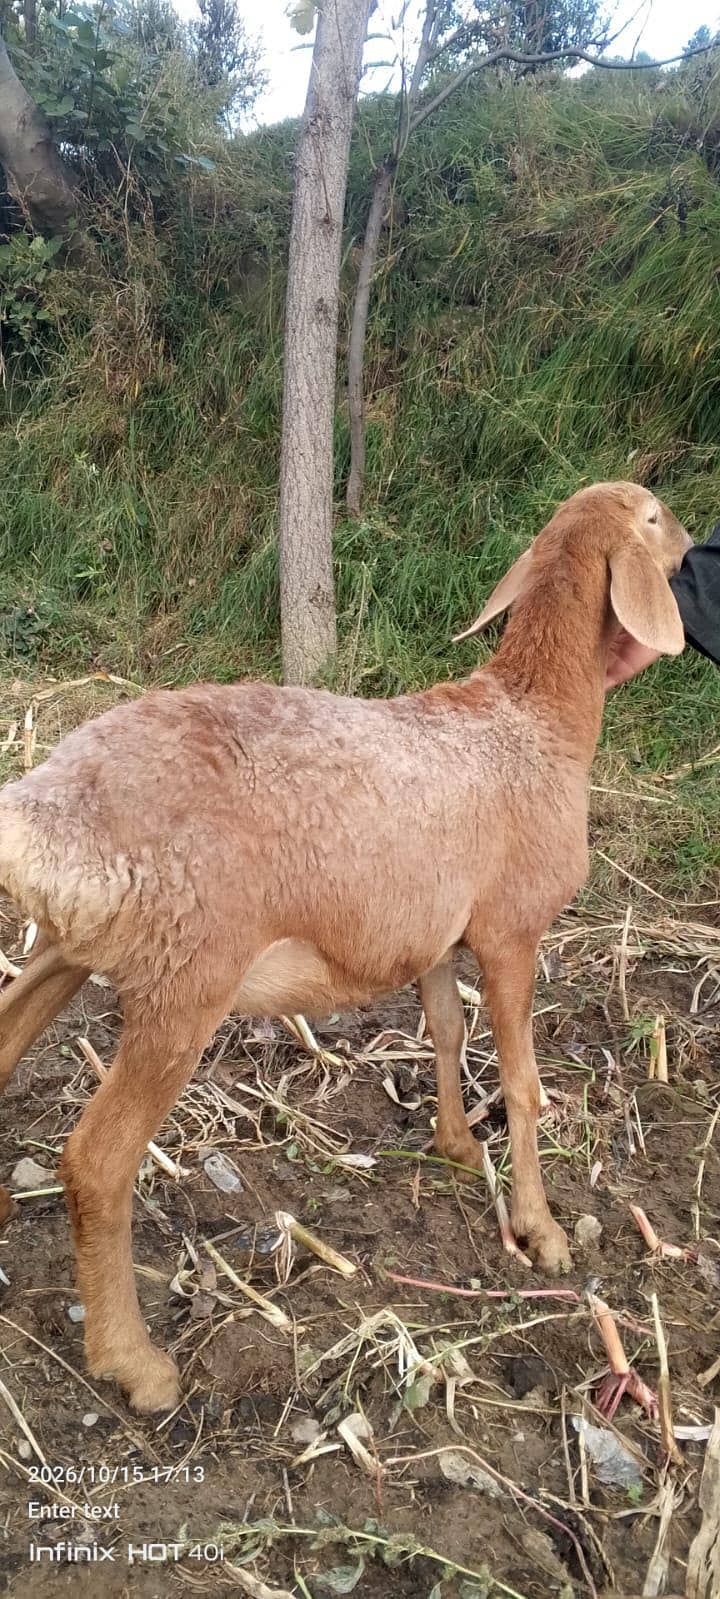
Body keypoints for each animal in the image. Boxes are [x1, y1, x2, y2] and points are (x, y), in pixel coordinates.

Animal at [0, 481, 690, 1412]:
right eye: (653, 519)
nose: (693, 544)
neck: (536, 720)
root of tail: (52, 802)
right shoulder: (511, 928)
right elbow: (522, 1082)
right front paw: (539, 1228)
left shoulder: (436, 929)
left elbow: (445, 1028)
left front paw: (456, 1147)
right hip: (187, 974)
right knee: (98, 1162)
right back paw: (134, 1363)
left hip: (76, 940)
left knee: (7, 1040)